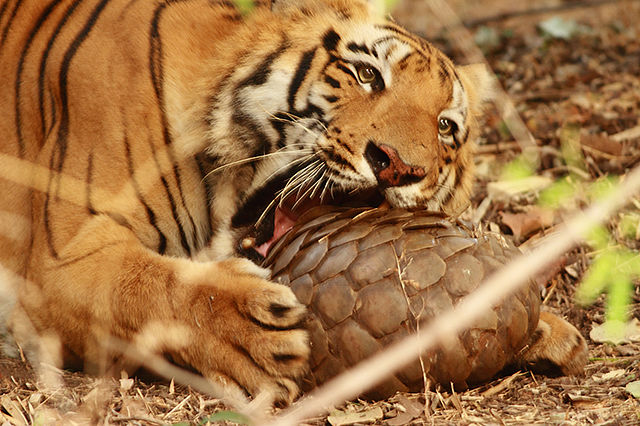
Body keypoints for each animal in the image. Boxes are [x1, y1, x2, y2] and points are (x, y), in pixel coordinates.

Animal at [0, 0, 587, 405]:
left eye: (445, 126)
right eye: (367, 74)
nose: (400, 165)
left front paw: (549, 330)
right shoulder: (58, 259)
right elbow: (142, 286)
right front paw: (249, 333)